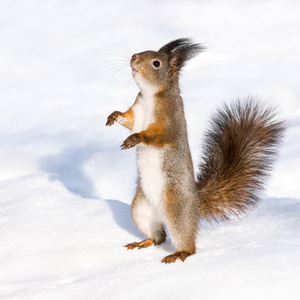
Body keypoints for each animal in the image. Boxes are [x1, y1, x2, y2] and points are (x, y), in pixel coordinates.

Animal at [106, 38, 286, 264]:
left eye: (156, 63)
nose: (134, 58)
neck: (149, 96)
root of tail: (195, 204)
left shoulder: (170, 121)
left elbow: (156, 135)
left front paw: (135, 139)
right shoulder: (137, 111)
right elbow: (129, 121)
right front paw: (114, 115)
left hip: (176, 211)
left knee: (187, 243)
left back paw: (179, 254)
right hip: (141, 210)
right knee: (159, 237)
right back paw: (142, 242)